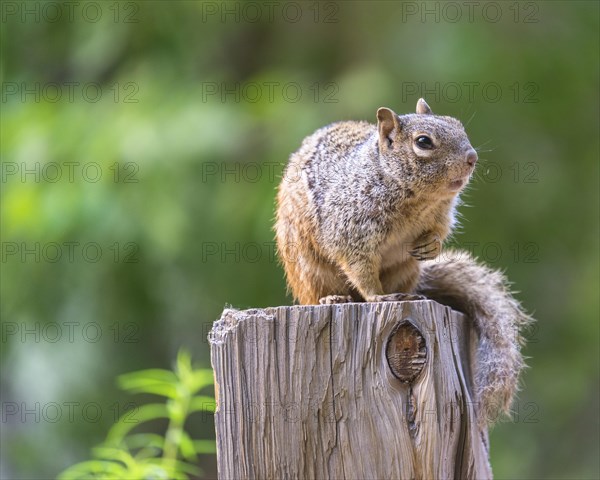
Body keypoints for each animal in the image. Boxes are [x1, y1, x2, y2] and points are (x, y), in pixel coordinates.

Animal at [274, 98, 532, 428]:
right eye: (423, 142)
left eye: (457, 123)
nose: (472, 158)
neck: (416, 200)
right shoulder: (350, 229)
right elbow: (360, 267)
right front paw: (376, 296)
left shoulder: (439, 217)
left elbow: (439, 232)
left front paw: (430, 245)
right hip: (308, 270)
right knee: (318, 292)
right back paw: (333, 298)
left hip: (406, 270)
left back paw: (411, 296)